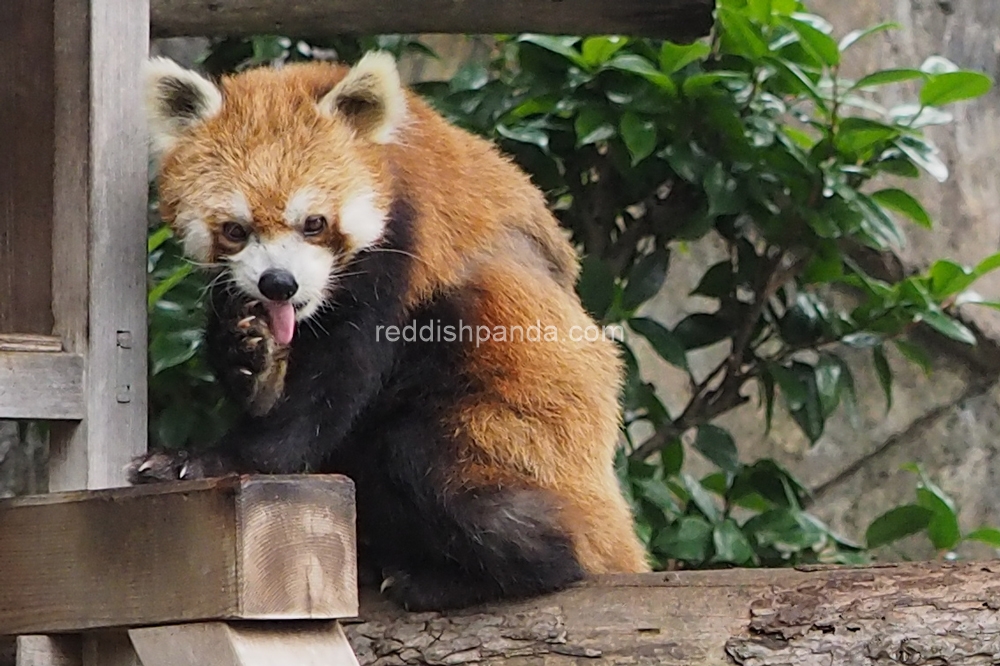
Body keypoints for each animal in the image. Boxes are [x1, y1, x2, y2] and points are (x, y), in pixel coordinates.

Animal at [131, 50, 648, 608]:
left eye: (314, 223)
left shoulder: (404, 249)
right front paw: (251, 357)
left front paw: (216, 459)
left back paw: (451, 579)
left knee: (419, 456)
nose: (280, 283)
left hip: (521, 431)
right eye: (235, 229)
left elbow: (332, 390)